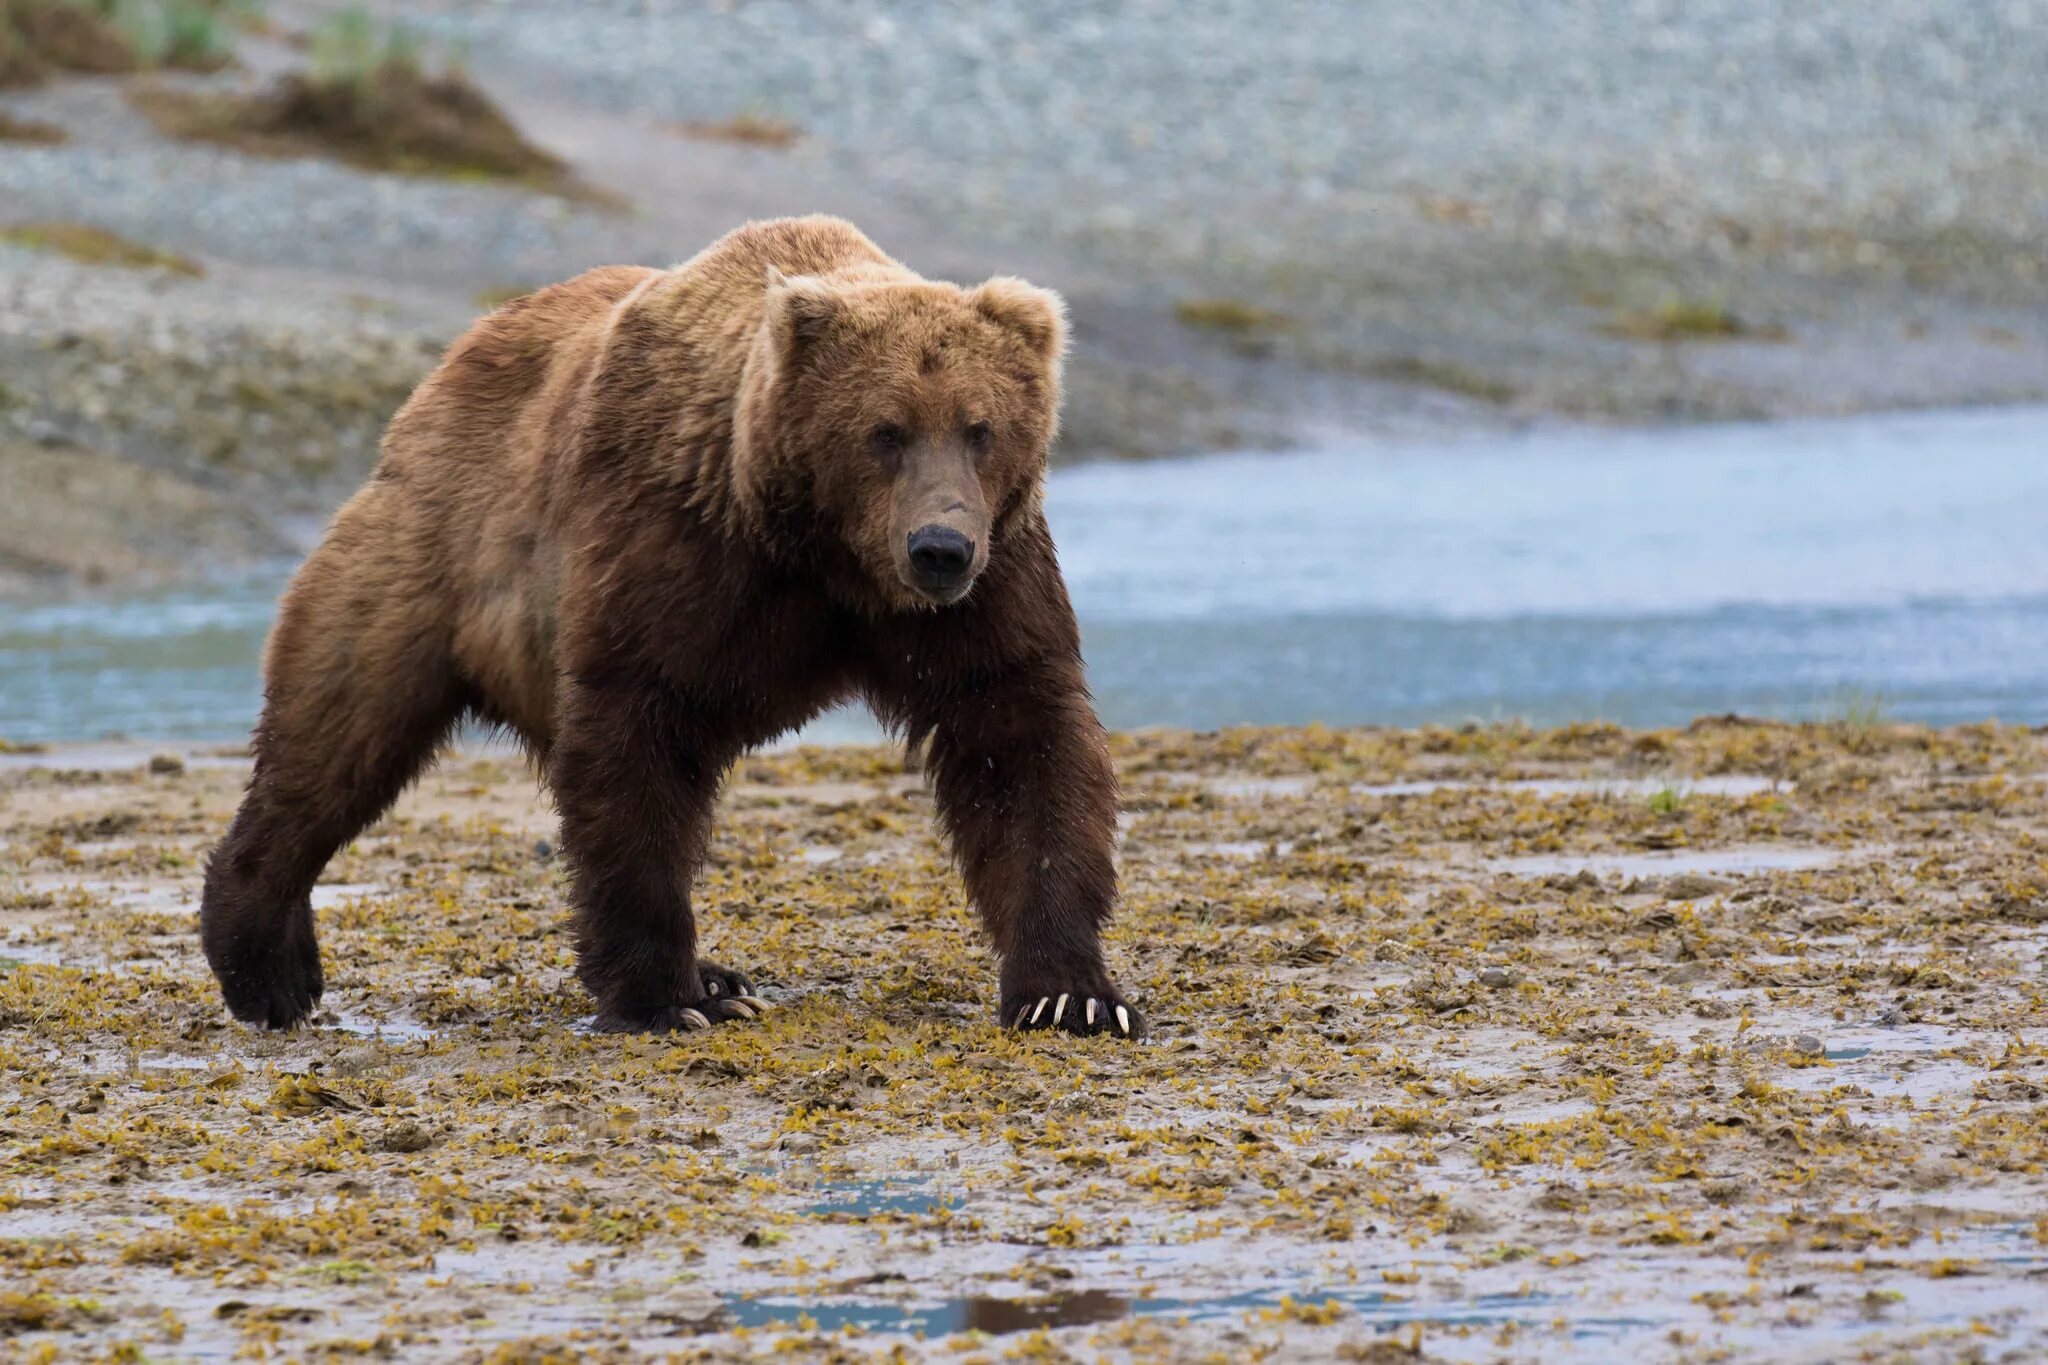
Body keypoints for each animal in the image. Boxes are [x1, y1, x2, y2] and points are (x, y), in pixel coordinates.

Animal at [197, 215, 1146, 1035]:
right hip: (430, 553)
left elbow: (1019, 739)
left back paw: (724, 974)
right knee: (339, 730)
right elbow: (634, 744)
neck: (820, 553)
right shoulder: (671, 543)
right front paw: (666, 999)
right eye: (885, 431)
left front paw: (1071, 993)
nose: (939, 547)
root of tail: (445, 370)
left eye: (980, 428)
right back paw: (267, 964)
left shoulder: (991, 583)